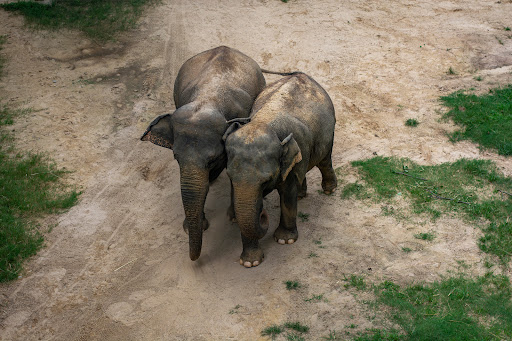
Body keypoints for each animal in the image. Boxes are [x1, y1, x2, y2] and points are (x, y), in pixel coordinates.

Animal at [223, 72, 336, 268]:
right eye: (229, 176)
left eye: (266, 180)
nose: (263, 214)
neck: (264, 122)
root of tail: (301, 74)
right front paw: (250, 263)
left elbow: (287, 193)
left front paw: (285, 240)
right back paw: (301, 195)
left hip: (327, 135)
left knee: (324, 161)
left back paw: (330, 190)